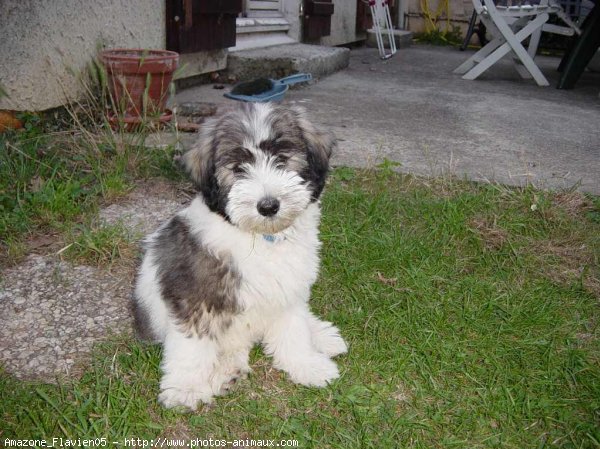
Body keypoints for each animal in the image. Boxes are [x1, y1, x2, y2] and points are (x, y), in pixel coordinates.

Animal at [133, 102, 344, 410]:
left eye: (282, 159)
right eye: (238, 169)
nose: (268, 206)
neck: (260, 238)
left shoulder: (287, 289)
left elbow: (293, 330)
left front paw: (307, 365)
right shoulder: (194, 295)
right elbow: (191, 345)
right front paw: (185, 387)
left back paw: (321, 335)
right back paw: (223, 371)